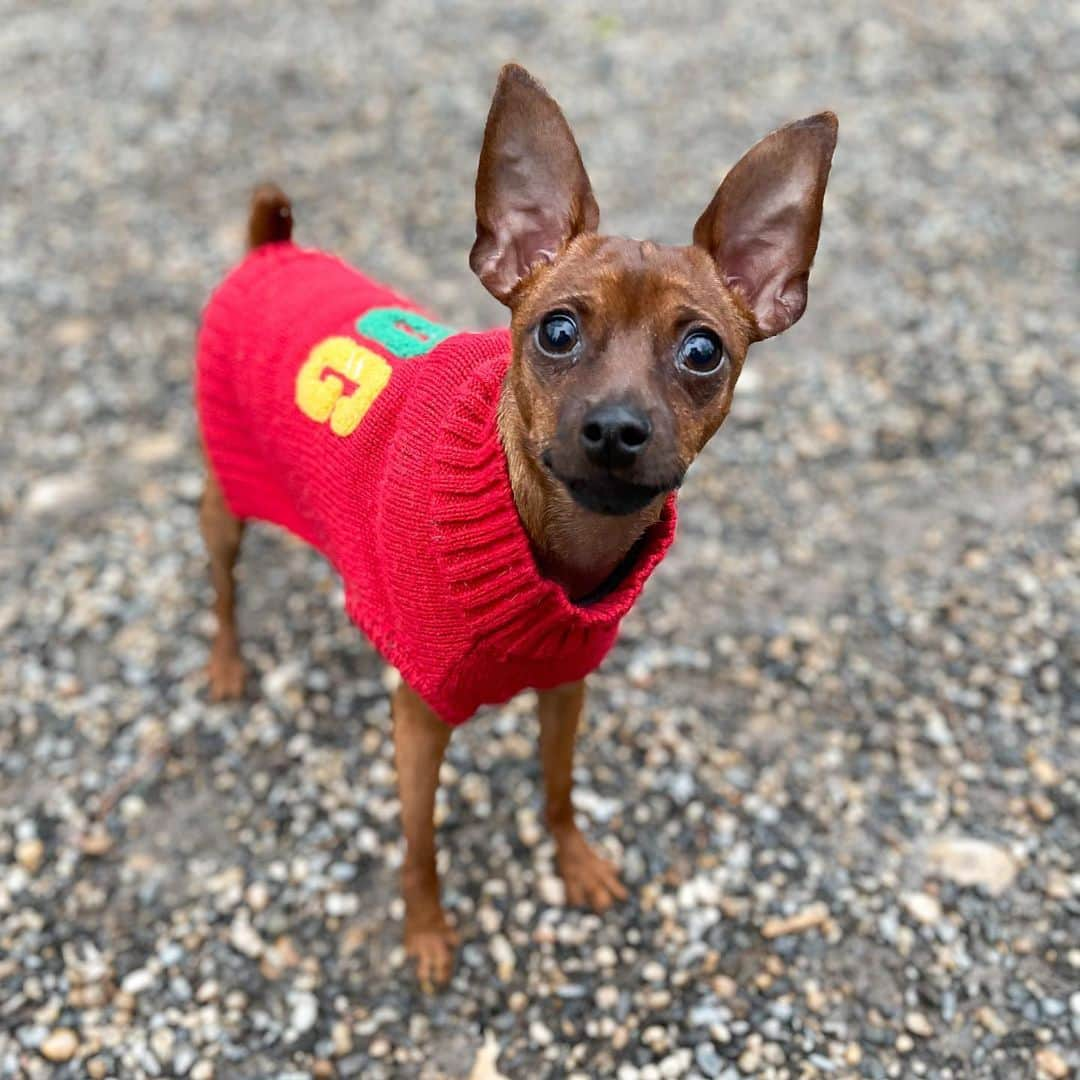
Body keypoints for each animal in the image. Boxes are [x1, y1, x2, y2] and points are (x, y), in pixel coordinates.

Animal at [198, 61, 838, 989]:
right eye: (557, 332)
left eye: (703, 352)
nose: (615, 427)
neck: (549, 537)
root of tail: (272, 247)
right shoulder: (419, 720)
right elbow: (419, 843)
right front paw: (427, 932)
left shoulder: (567, 687)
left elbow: (557, 786)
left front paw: (573, 863)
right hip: (225, 496)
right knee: (222, 579)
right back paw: (225, 662)